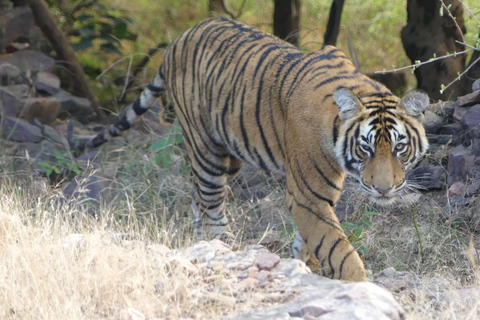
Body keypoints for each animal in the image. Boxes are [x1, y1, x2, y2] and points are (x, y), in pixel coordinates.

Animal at [84, 16, 430, 282]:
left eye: (399, 147)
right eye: (365, 149)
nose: (384, 190)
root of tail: (179, 37)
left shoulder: (316, 196)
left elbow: (310, 238)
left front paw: (306, 262)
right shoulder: (308, 195)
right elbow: (337, 246)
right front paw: (358, 283)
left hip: (231, 154)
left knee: (198, 199)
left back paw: (200, 245)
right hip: (207, 150)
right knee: (212, 208)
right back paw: (224, 250)